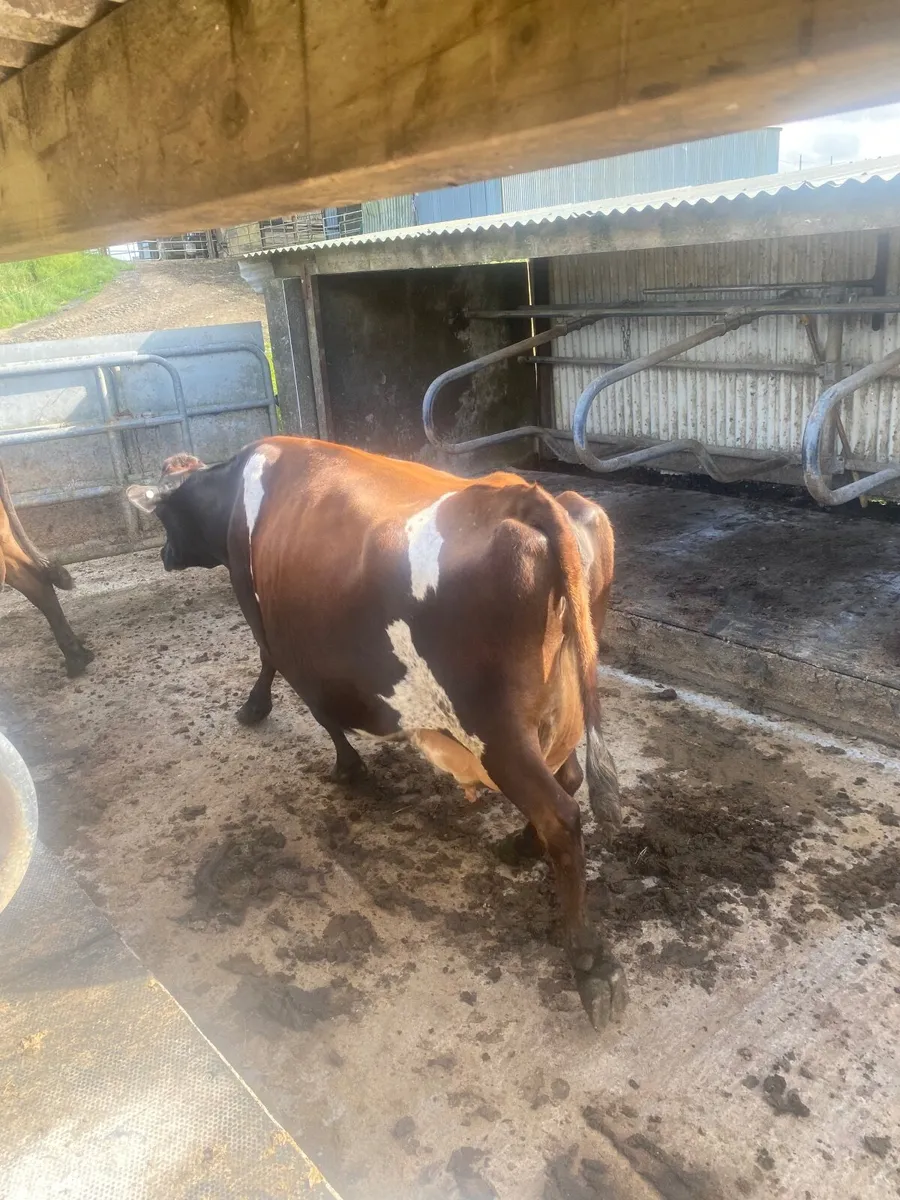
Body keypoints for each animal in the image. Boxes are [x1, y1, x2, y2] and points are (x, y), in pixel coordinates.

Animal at [126, 437, 625, 1029]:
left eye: (163, 515)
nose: (163, 555)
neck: (235, 488)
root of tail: (526, 498)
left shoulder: (266, 620)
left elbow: (298, 689)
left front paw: (323, 752)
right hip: (556, 711)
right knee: (567, 779)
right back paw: (519, 846)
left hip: (497, 728)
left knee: (560, 814)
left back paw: (591, 964)